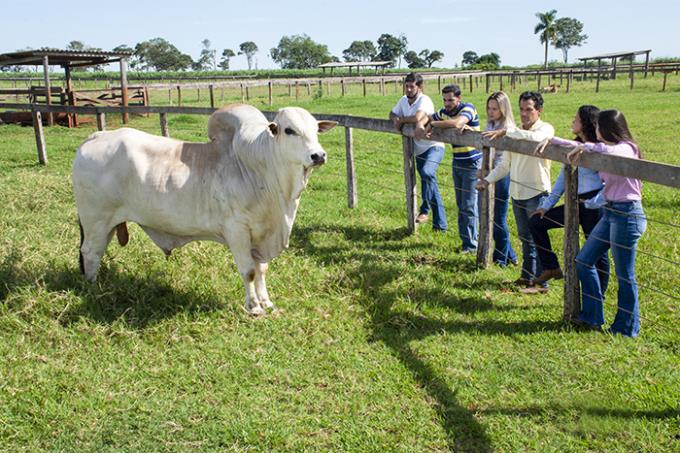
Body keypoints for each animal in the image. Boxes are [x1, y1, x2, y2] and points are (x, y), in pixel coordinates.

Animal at [72, 103, 338, 312]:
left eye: (316, 130)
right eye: (289, 130)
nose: (318, 155)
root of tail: (94, 137)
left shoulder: (261, 236)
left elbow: (262, 270)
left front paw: (266, 302)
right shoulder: (237, 230)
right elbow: (249, 271)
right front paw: (253, 307)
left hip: (108, 224)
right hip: (96, 220)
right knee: (90, 252)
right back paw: (92, 289)